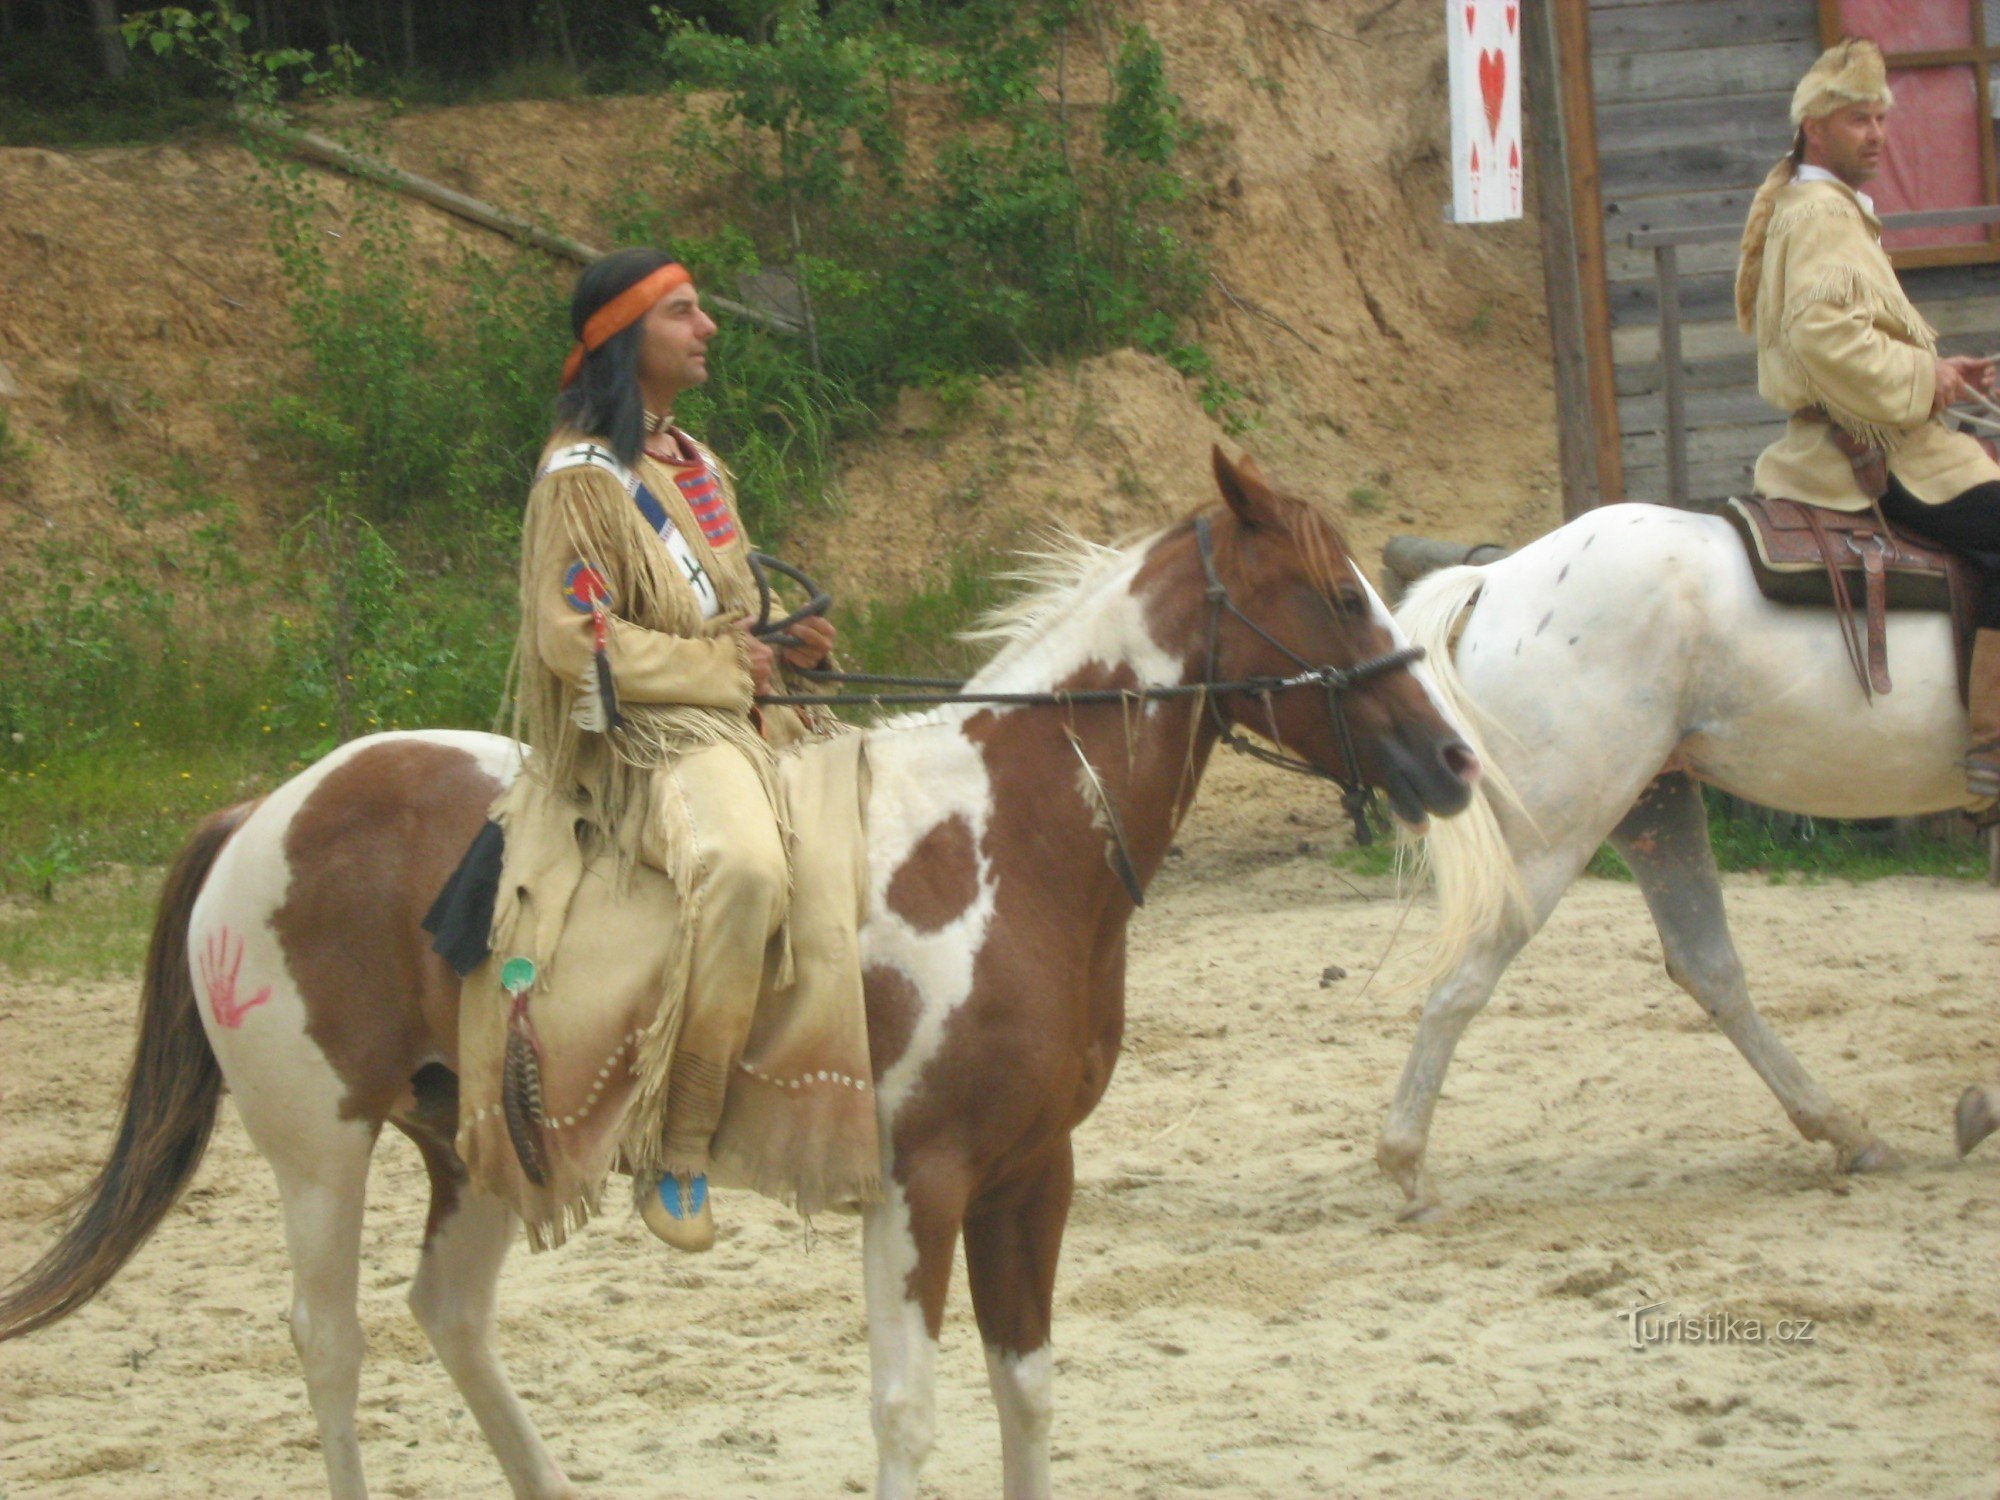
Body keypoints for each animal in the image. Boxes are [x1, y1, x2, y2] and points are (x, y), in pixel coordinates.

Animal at [3, 450, 1488, 1500]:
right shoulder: (922, 1182)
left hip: (478, 1136)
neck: (1007, 835)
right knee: (330, 1341)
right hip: (319, 1147)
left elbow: (1026, 1391)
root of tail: (267, 811)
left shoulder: (1031, 1174)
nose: (1453, 758)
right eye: (1339, 595)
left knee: (449, 1314)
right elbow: (908, 1412)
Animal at [1384, 500, 1992, 1224]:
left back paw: (1848, 1133)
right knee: (1464, 977)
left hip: (1654, 807)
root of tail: (1499, 578)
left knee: (1708, 968)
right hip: (1557, 830)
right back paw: (1410, 1173)